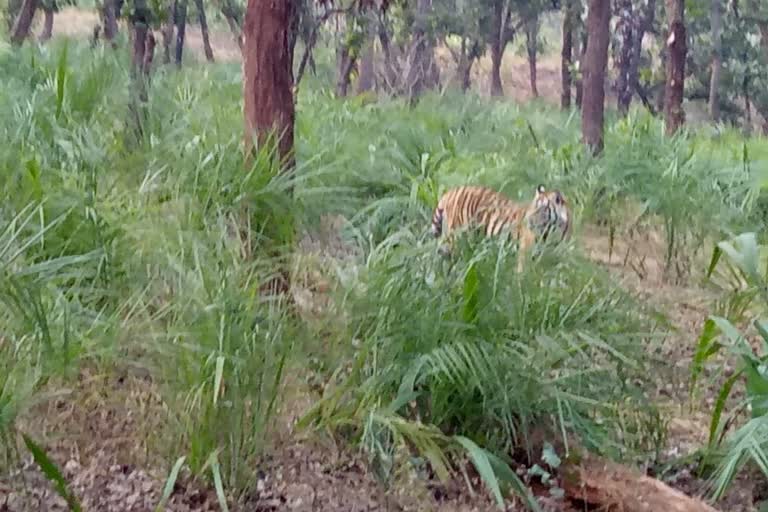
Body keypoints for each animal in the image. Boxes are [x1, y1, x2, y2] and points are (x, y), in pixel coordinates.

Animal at [432, 184, 568, 272]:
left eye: (541, 209)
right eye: (534, 206)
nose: (527, 220)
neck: (551, 230)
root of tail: (451, 191)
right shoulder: (525, 252)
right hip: (456, 238)